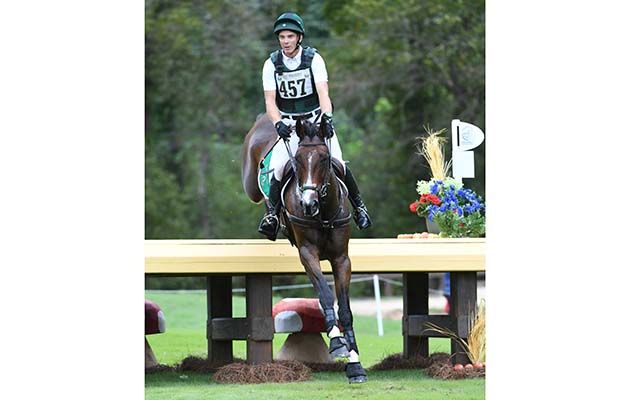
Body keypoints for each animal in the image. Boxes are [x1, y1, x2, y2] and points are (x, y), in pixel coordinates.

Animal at [242, 115, 370, 384]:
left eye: (323, 158)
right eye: (298, 160)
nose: (308, 204)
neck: (323, 212)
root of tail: (263, 121)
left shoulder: (342, 259)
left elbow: (345, 310)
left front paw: (355, 365)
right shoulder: (308, 255)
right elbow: (325, 296)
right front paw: (337, 343)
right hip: (251, 181)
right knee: (256, 189)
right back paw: (269, 219)